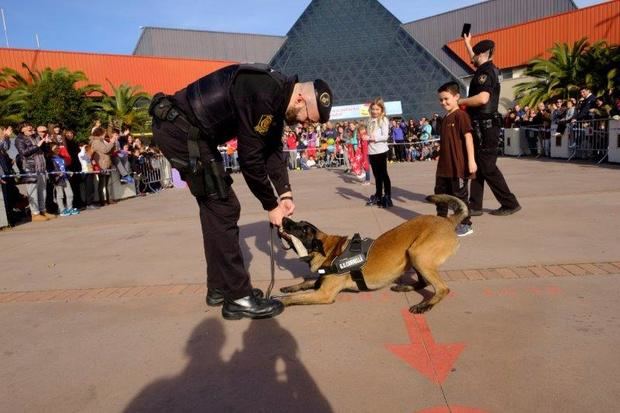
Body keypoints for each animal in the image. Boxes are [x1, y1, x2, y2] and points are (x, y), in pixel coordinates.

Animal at [278, 193, 468, 312]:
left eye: (302, 229)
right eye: (298, 223)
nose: (283, 218)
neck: (331, 250)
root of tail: (448, 221)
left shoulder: (323, 294)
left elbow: (297, 297)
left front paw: (279, 300)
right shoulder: (319, 284)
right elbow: (305, 284)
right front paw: (289, 287)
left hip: (418, 254)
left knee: (442, 289)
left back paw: (424, 306)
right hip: (414, 256)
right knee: (424, 283)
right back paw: (405, 287)